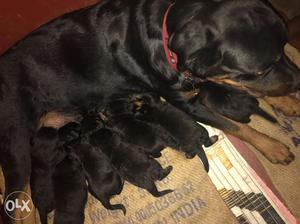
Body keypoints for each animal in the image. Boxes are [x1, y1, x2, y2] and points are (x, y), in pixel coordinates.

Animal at [0, 0, 300, 220]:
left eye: (285, 46)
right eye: (259, 71)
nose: (297, 80)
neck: (167, 37)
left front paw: (287, 102)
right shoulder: (186, 103)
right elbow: (238, 127)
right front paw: (273, 147)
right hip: (18, 147)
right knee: (17, 202)